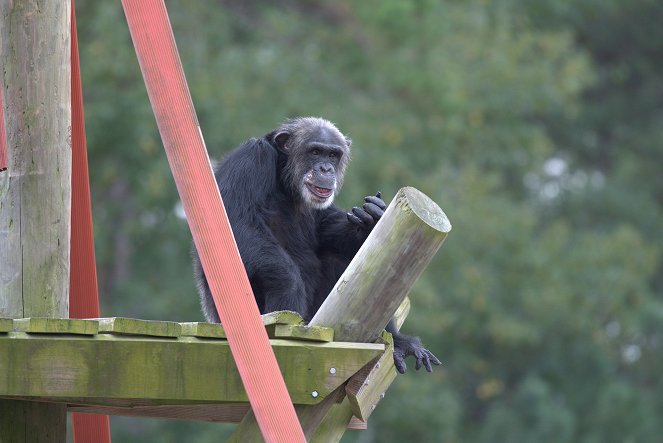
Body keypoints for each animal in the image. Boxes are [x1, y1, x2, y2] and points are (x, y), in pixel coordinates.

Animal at [192, 116, 440, 372]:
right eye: (315, 152)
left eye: (332, 155)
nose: (325, 168)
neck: (285, 178)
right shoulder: (251, 159)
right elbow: (234, 222)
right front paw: (289, 284)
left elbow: (325, 226)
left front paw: (370, 217)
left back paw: (399, 343)